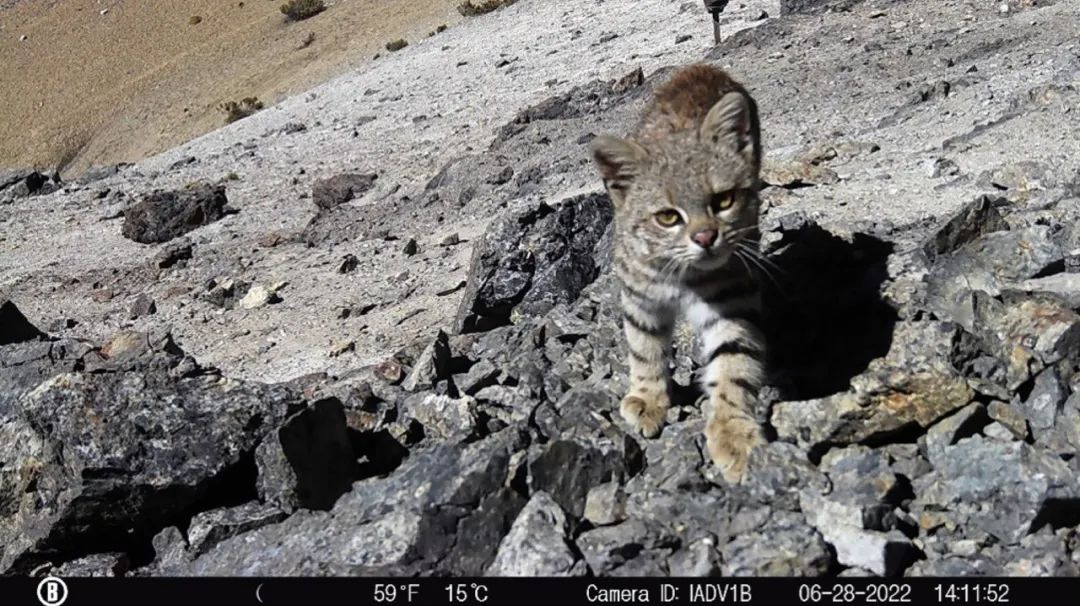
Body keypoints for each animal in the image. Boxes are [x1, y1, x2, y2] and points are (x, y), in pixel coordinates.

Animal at [591, 65, 768, 481]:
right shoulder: (640, 296)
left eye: (723, 200)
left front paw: (732, 434)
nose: (705, 237)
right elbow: (644, 350)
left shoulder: (732, 300)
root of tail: (701, 66)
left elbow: (733, 365)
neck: (683, 278)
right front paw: (648, 398)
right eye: (668, 217)